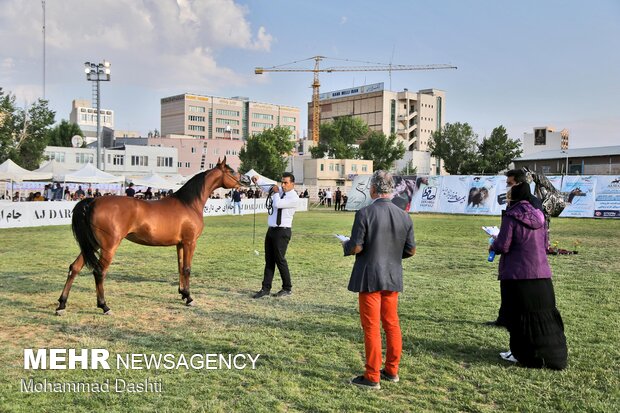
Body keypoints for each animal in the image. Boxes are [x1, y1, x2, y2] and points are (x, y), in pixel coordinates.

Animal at [55, 156, 249, 314]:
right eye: (231, 171)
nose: (247, 180)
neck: (188, 203)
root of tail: (93, 200)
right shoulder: (190, 242)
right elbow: (187, 268)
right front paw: (189, 298)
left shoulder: (180, 244)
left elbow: (180, 267)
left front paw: (183, 293)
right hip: (109, 247)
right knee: (99, 272)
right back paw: (104, 306)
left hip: (92, 245)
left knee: (74, 267)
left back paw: (62, 304)